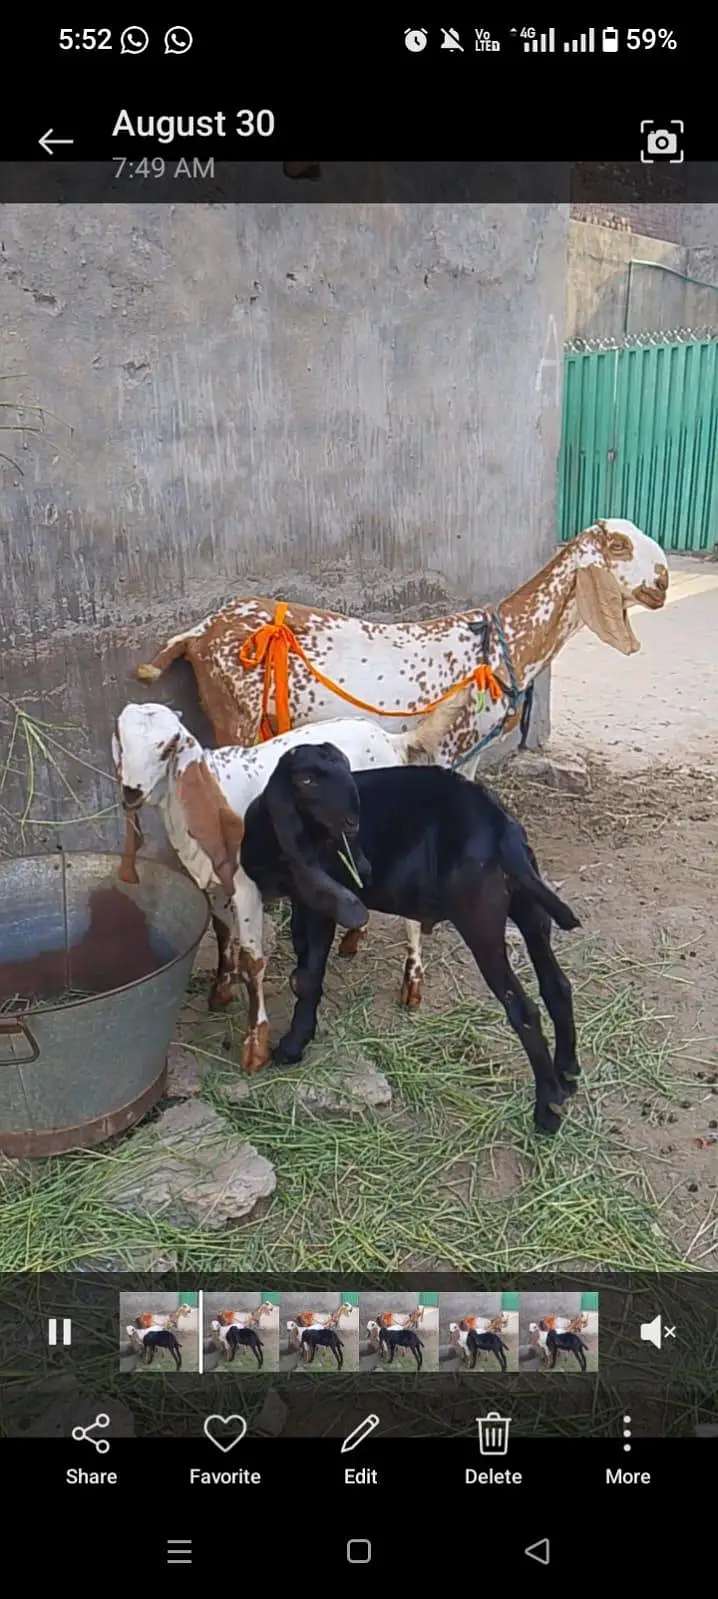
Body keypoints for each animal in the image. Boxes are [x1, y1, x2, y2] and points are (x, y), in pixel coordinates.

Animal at [112, 693, 468, 1071]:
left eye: (168, 747)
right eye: (120, 740)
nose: (131, 792)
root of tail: (392, 740)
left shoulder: (246, 887)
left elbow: (253, 961)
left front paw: (255, 1047)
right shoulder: (216, 884)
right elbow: (222, 933)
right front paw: (221, 991)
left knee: (411, 913)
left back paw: (412, 986)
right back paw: (353, 939)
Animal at [240, 747, 581, 1135]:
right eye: (306, 779)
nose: (352, 824)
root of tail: (501, 829)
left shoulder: (321, 905)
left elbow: (309, 977)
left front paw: (292, 1046)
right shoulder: (304, 900)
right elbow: (302, 968)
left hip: (481, 921)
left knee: (523, 1010)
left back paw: (548, 1109)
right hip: (530, 910)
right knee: (557, 985)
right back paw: (567, 1073)